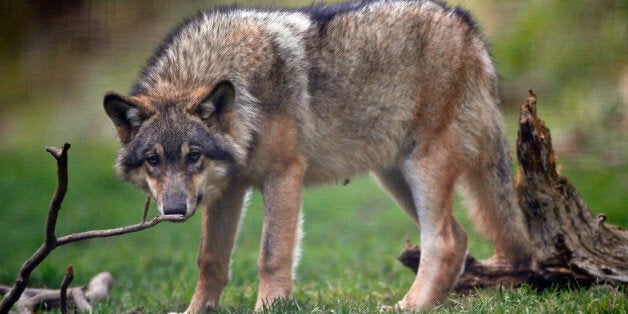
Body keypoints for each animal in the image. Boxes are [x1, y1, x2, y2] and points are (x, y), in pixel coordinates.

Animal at [104, 0, 536, 310]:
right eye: (154, 160)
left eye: (193, 155)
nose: (175, 210)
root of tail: (469, 29)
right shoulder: (228, 191)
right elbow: (210, 261)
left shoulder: (283, 176)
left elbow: (271, 255)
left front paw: (269, 307)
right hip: (394, 177)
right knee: (459, 238)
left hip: (423, 169)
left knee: (442, 241)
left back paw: (409, 305)